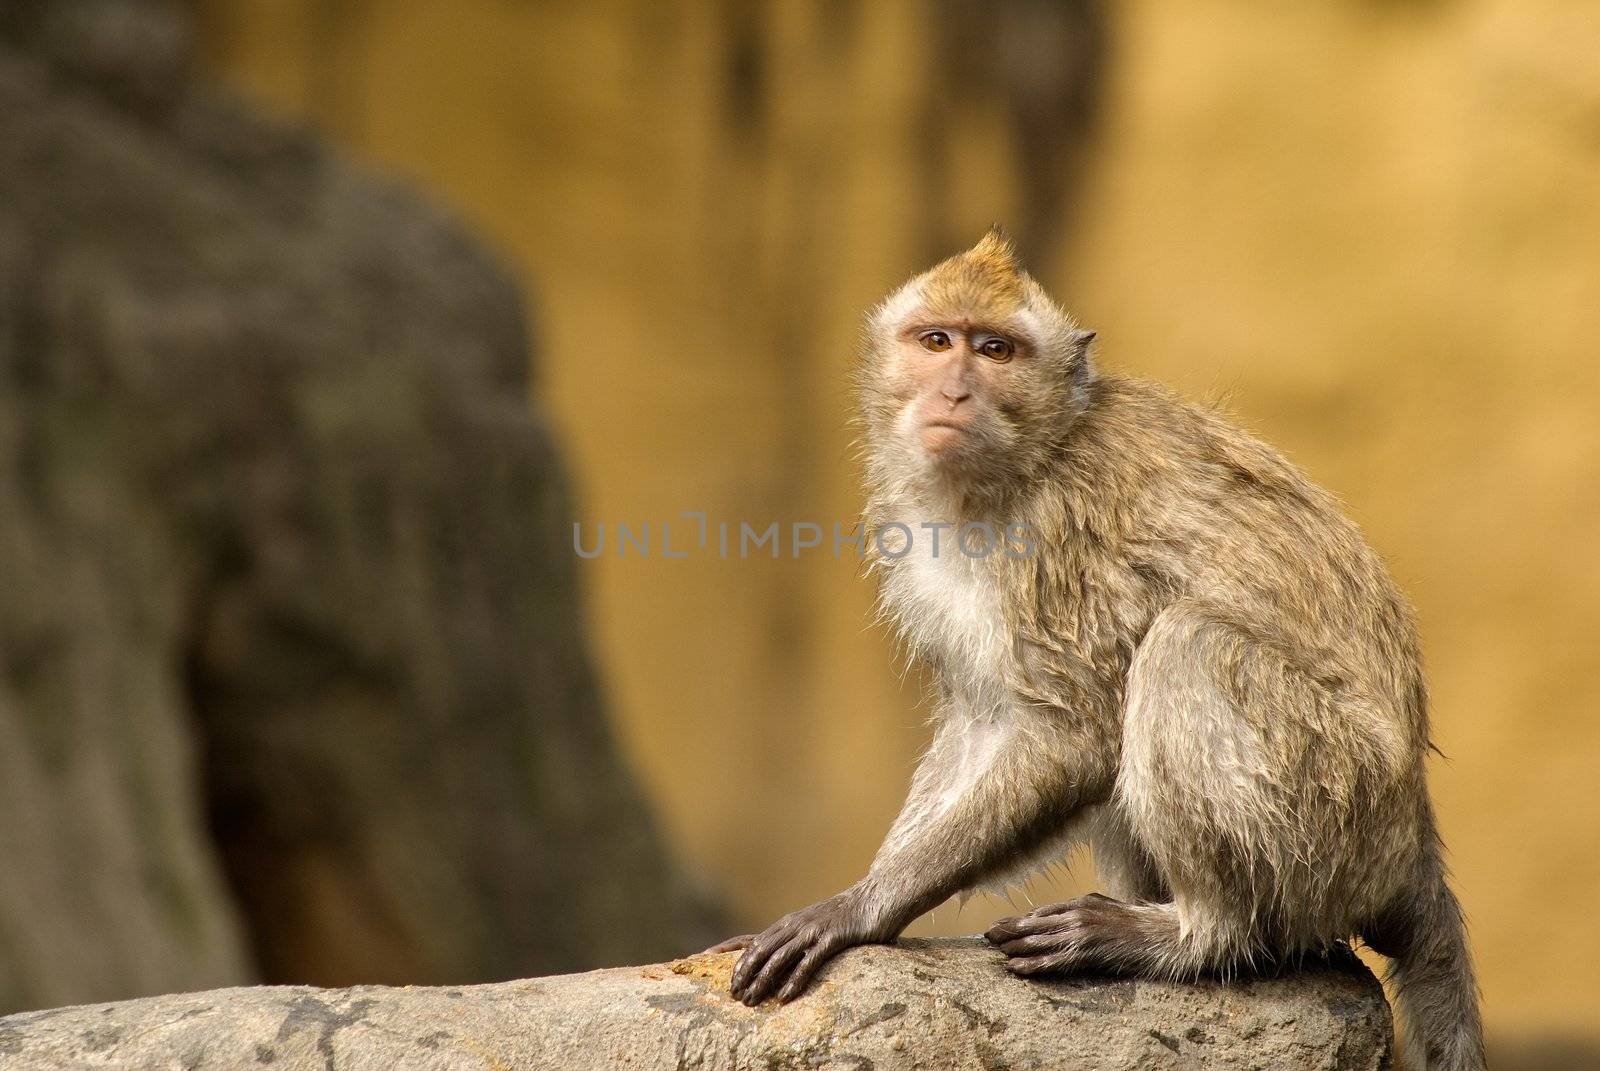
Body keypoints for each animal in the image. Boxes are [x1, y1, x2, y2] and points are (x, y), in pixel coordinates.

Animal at [713, 230, 1484, 1062]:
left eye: (996, 350)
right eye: (937, 341)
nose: (953, 393)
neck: (1025, 457)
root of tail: (1413, 837)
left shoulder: (1055, 538)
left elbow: (1072, 734)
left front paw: (859, 908)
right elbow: (981, 719)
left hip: (1342, 813)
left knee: (1187, 643)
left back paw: (1195, 934)